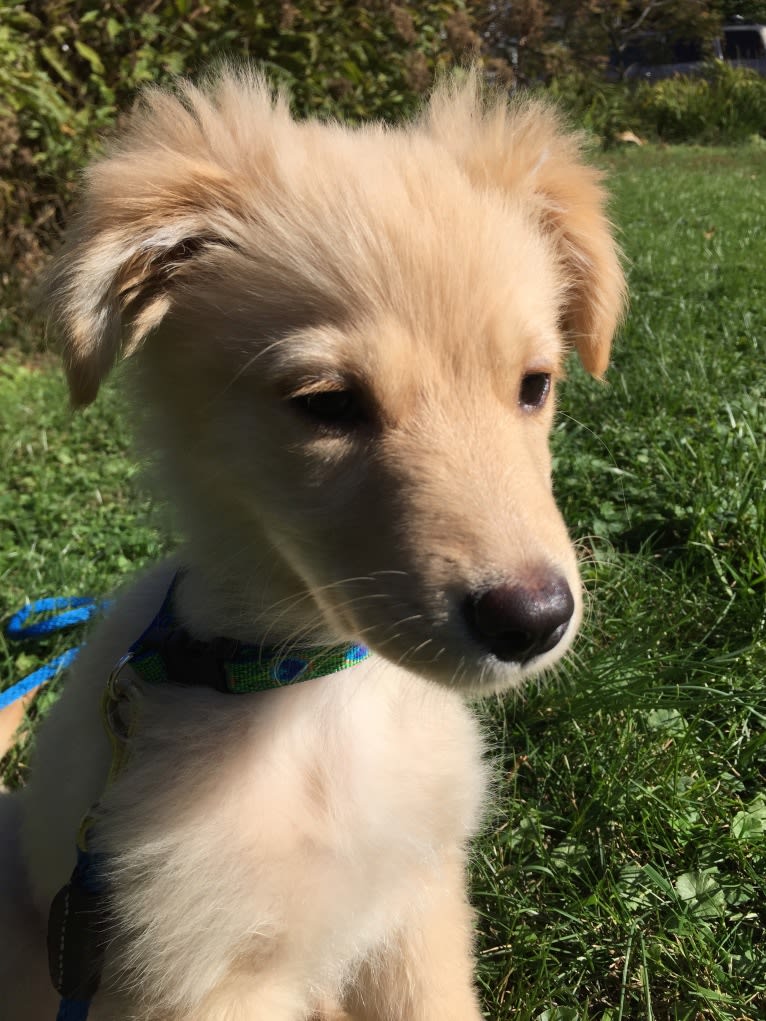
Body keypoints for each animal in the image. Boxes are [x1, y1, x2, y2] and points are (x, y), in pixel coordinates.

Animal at [0, 71, 625, 1021]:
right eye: (328, 404)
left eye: (535, 385)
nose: (534, 619)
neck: (317, 694)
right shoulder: (210, 977)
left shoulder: (419, 910)